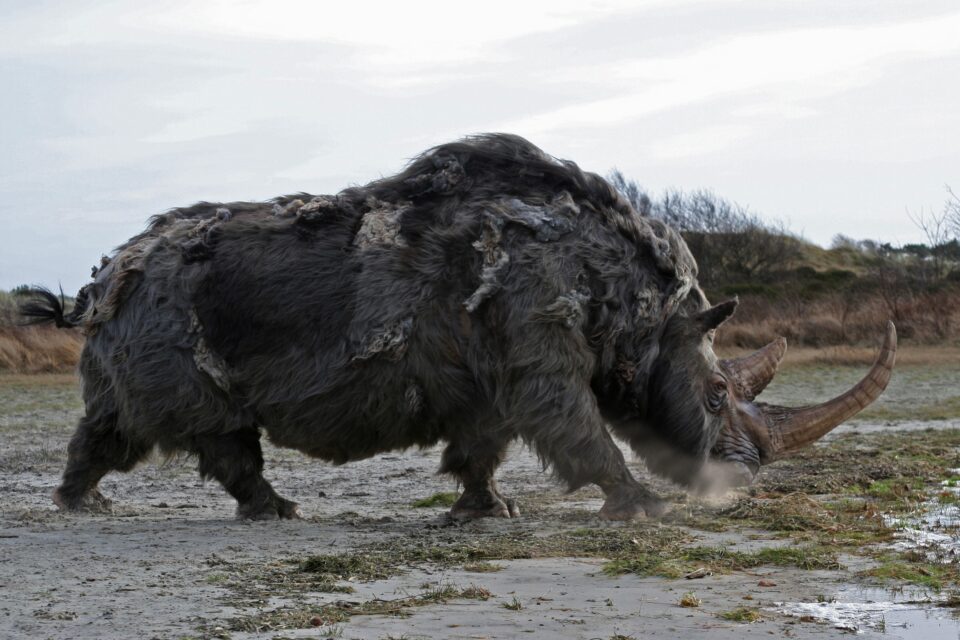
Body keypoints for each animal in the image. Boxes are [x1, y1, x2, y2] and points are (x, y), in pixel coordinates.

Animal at [21, 134, 896, 521]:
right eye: (715, 395)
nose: (739, 480)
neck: (648, 309)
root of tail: (99, 280)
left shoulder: (495, 367)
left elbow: (486, 443)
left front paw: (486, 512)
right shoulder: (539, 340)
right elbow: (578, 428)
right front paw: (642, 505)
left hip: (136, 314)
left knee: (118, 419)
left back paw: (86, 504)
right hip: (160, 307)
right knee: (195, 424)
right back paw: (268, 511)